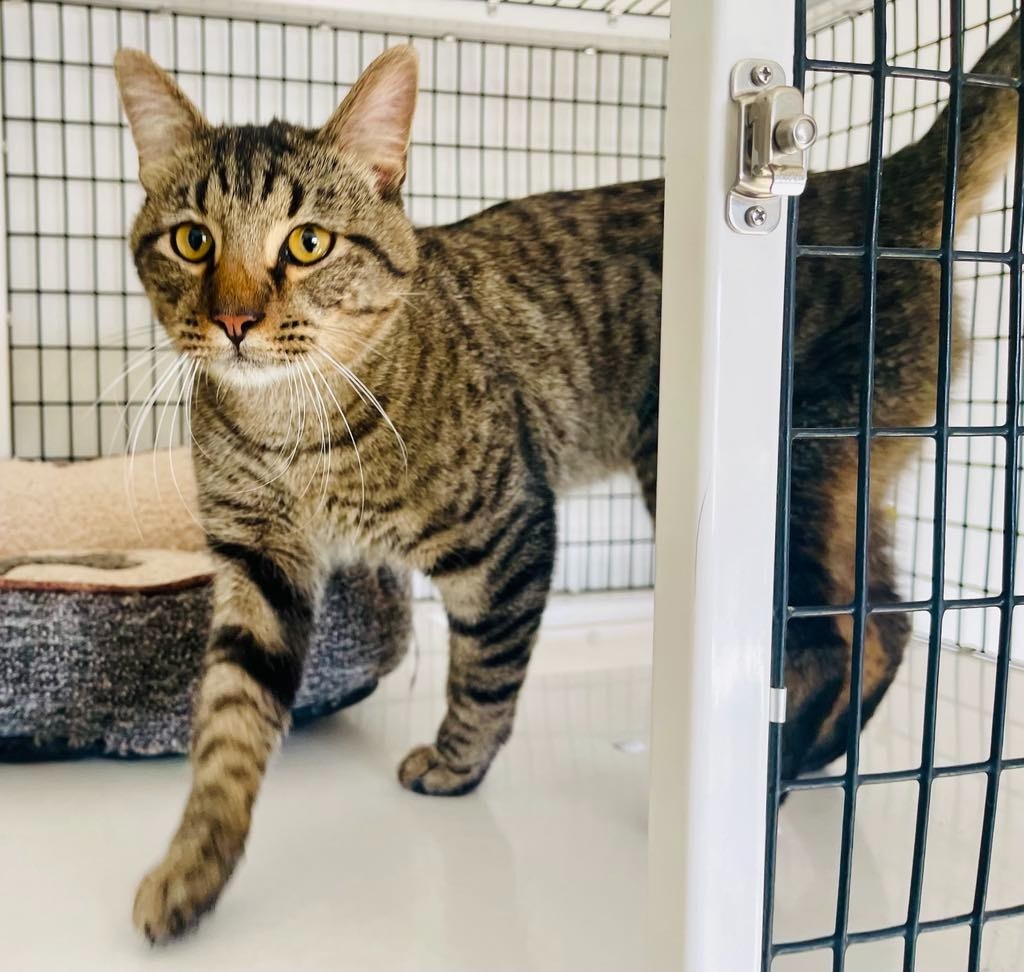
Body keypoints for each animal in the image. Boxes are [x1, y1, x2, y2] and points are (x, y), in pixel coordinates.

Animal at [112, 24, 1015, 942]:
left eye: (307, 242)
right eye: (193, 241)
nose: (234, 320)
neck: (292, 428)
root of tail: (865, 183)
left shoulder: (508, 528)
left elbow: (484, 670)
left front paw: (456, 765)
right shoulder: (257, 562)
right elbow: (230, 724)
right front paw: (194, 866)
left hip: (787, 479)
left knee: (837, 639)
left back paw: (778, 775)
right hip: (848, 481)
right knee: (892, 623)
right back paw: (822, 757)